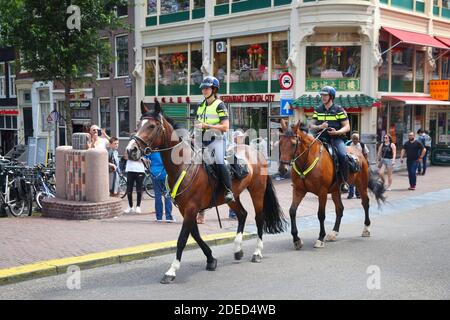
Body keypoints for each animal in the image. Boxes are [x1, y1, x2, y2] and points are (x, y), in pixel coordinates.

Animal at [125, 101, 284, 284]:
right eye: (138, 125)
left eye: (152, 126)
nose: (130, 150)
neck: (184, 165)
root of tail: (257, 152)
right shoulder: (186, 209)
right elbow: (195, 235)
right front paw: (211, 259)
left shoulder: (191, 208)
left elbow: (182, 239)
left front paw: (171, 271)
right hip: (232, 197)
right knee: (242, 214)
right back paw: (238, 250)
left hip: (257, 191)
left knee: (259, 218)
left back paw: (257, 252)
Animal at [278, 121, 386, 249]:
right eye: (280, 142)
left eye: (293, 144)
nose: (282, 169)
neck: (306, 161)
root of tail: (359, 154)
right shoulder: (299, 190)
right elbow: (292, 211)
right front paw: (296, 239)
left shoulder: (322, 192)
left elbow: (321, 214)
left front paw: (320, 238)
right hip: (335, 190)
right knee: (340, 209)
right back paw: (334, 233)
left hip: (361, 185)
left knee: (365, 203)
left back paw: (366, 229)